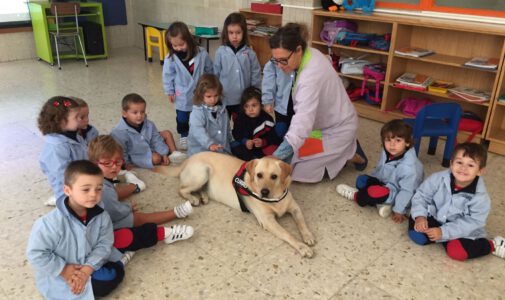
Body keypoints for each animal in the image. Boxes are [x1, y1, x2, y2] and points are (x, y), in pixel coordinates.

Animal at [176, 152, 316, 258]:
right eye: (259, 175)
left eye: (274, 176)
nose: (264, 192)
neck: (275, 198)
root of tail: (188, 159)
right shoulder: (267, 220)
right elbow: (287, 234)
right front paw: (302, 247)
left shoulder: (295, 208)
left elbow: (301, 222)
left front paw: (308, 235)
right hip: (202, 173)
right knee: (182, 189)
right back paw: (193, 199)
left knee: (198, 189)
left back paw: (203, 197)